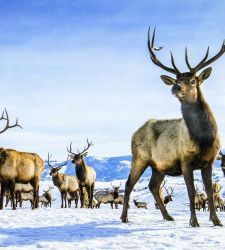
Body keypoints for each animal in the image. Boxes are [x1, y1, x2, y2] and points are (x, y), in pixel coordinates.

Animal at [121, 26, 225, 227]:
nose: (175, 88)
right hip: (140, 157)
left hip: (159, 166)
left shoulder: (209, 160)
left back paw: (168, 216)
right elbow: (191, 191)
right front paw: (194, 222)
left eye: (193, 81)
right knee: (129, 183)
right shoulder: (185, 159)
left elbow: (209, 192)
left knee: (153, 186)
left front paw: (216, 221)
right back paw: (124, 217)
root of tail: (133, 133)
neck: (205, 139)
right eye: (177, 80)